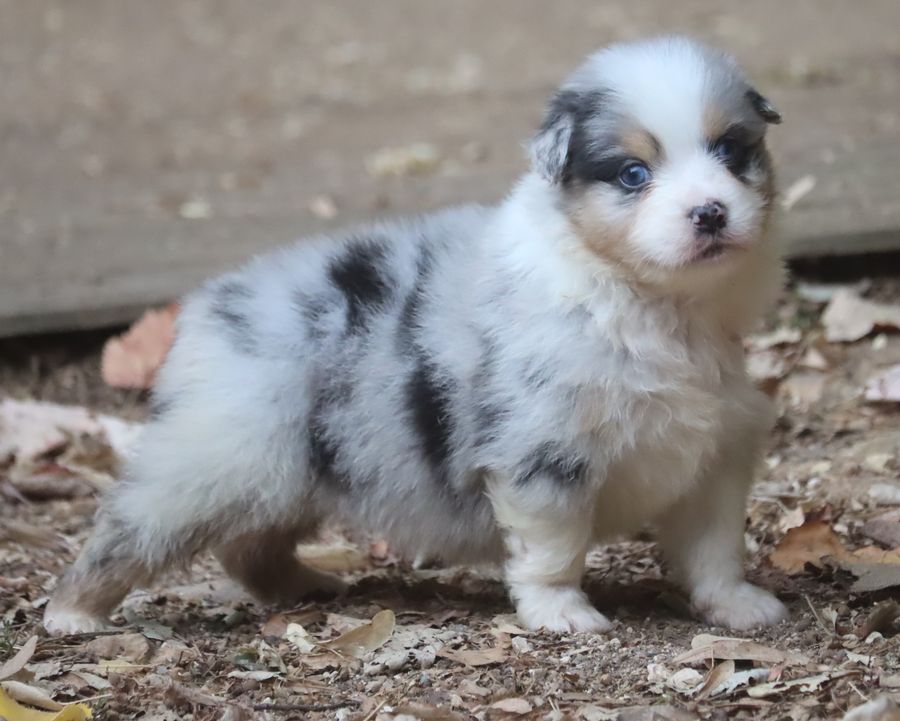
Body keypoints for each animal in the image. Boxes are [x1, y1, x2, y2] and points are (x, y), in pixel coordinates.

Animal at [44, 36, 788, 636]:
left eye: (731, 151)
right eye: (635, 174)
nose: (710, 213)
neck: (654, 303)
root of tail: (209, 302)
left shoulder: (713, 454)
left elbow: (715, 547)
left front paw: (738, 605)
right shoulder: (543, 454)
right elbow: (554, 548)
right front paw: (562, 614)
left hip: (290, 470)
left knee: (250, 543)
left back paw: (303, 585)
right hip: (214, 459)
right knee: (129, 527)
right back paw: (73, 612)